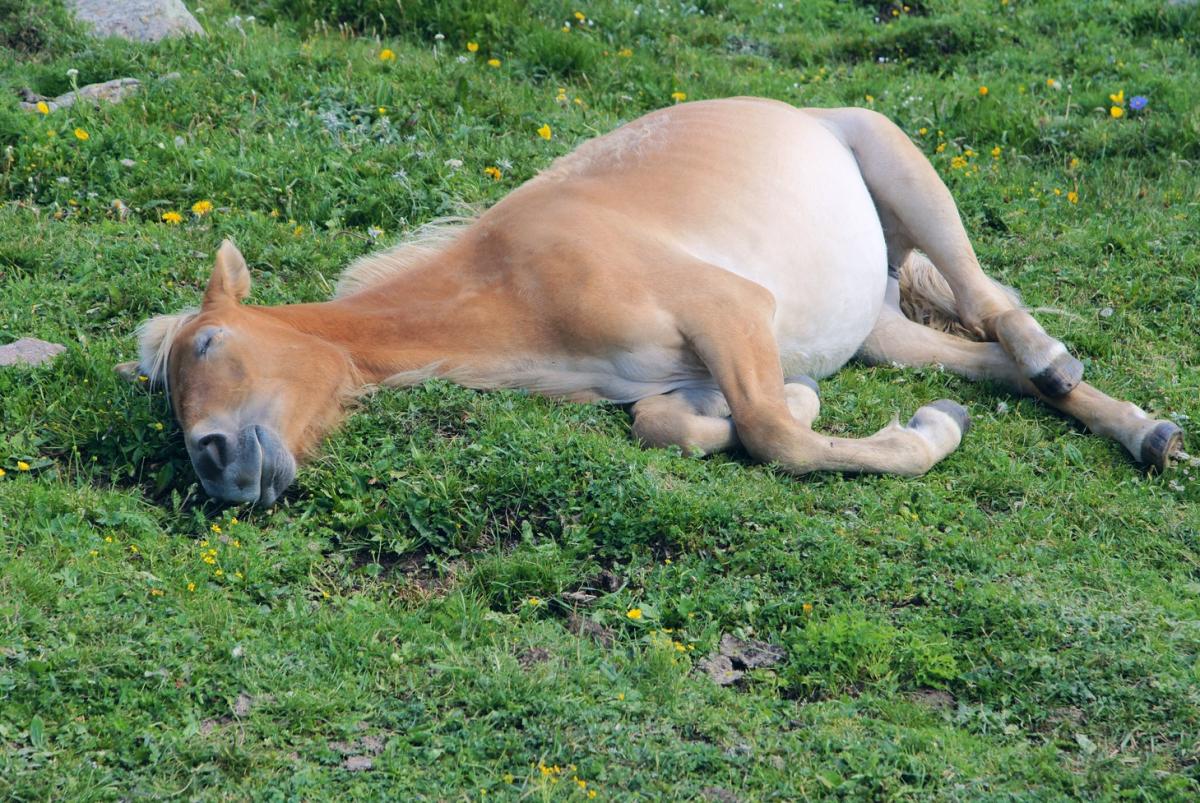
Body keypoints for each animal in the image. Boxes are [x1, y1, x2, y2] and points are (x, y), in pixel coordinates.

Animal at [118, 98, 1184, 506]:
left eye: (208, 344)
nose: (214, 461)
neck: (519, 286)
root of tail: (809, 112)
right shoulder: (680, 369)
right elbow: (677, 423)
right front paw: (763, 410)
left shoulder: (729, 307)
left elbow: (778, 437)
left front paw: (928, 432)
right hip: (884, 333)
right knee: (1001, 364)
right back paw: (1146, 432)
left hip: (905, 172)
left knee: (994, 300)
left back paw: (1053, 360)